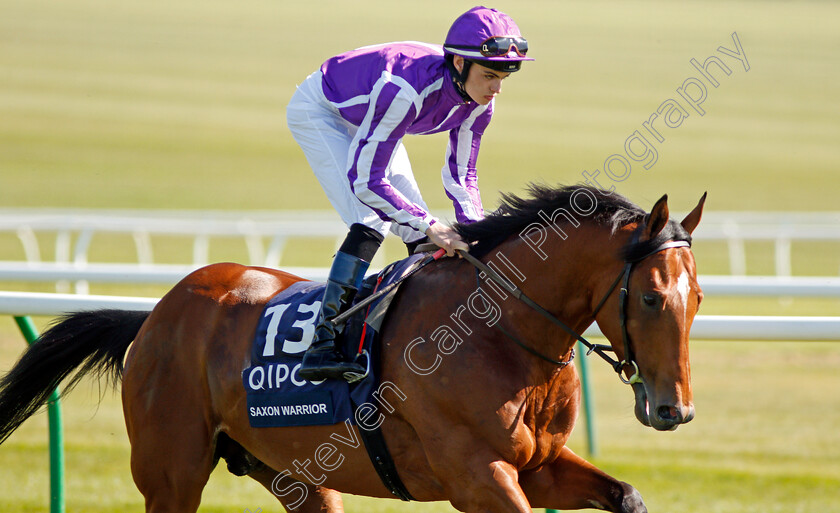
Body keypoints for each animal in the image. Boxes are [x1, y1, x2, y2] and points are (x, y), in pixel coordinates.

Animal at [0, 185, 704, 512]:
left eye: (697, 297)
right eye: (649, 298)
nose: (674, 410)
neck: (497, 330)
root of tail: (155, 315)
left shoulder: (539, 466)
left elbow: (626, 494)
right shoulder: (477, 476)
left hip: (297, 475)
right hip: (171, 473)